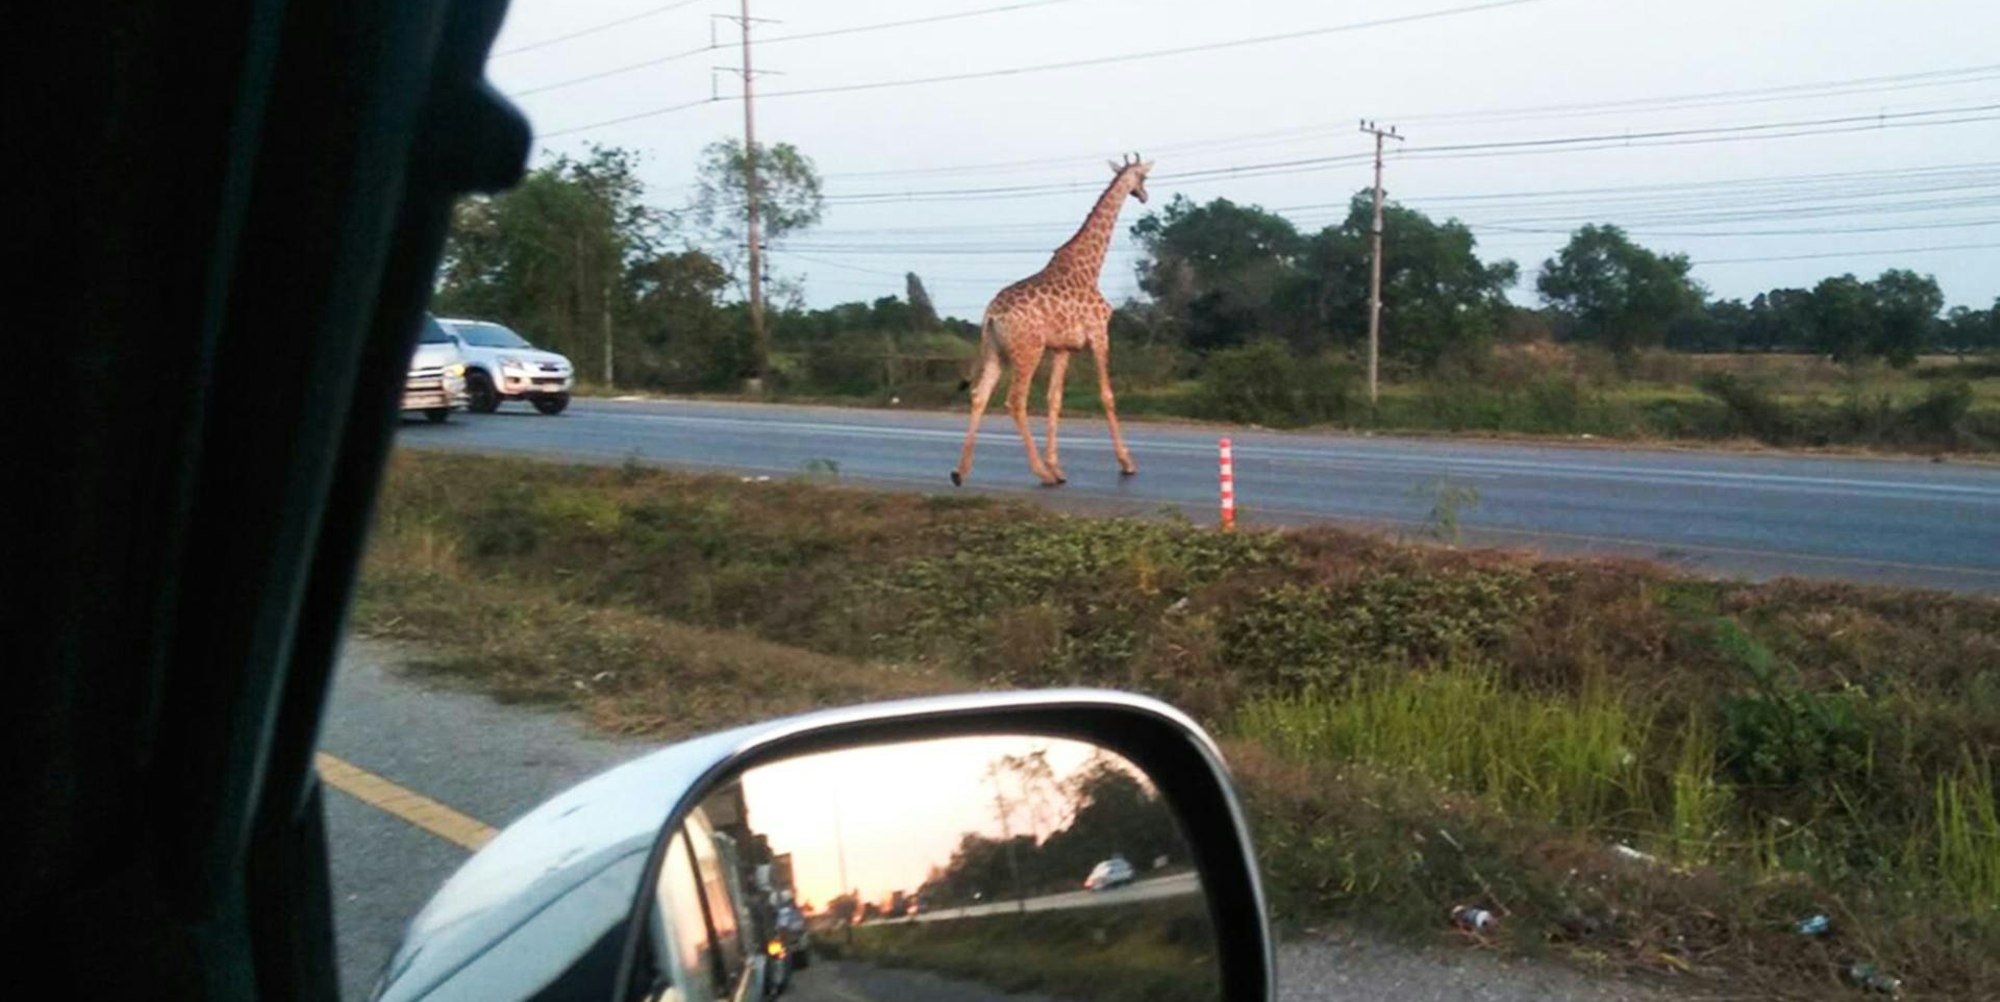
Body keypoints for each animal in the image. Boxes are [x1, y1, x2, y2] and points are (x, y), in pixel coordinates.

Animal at [951, 154, 1151, 487]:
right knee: (1015, 401)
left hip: (995, 350)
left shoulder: (1063, 348)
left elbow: (1054, 399)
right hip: (1028, 351)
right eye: (1143, 177)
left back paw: (960, 471)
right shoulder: (1099, 334)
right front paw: (1126, 463)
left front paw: (1057, 465)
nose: (1144, 195)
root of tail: (991, 314)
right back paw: (1041, 473)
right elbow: (1107, 395)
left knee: (980, 394)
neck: (1090, 267)